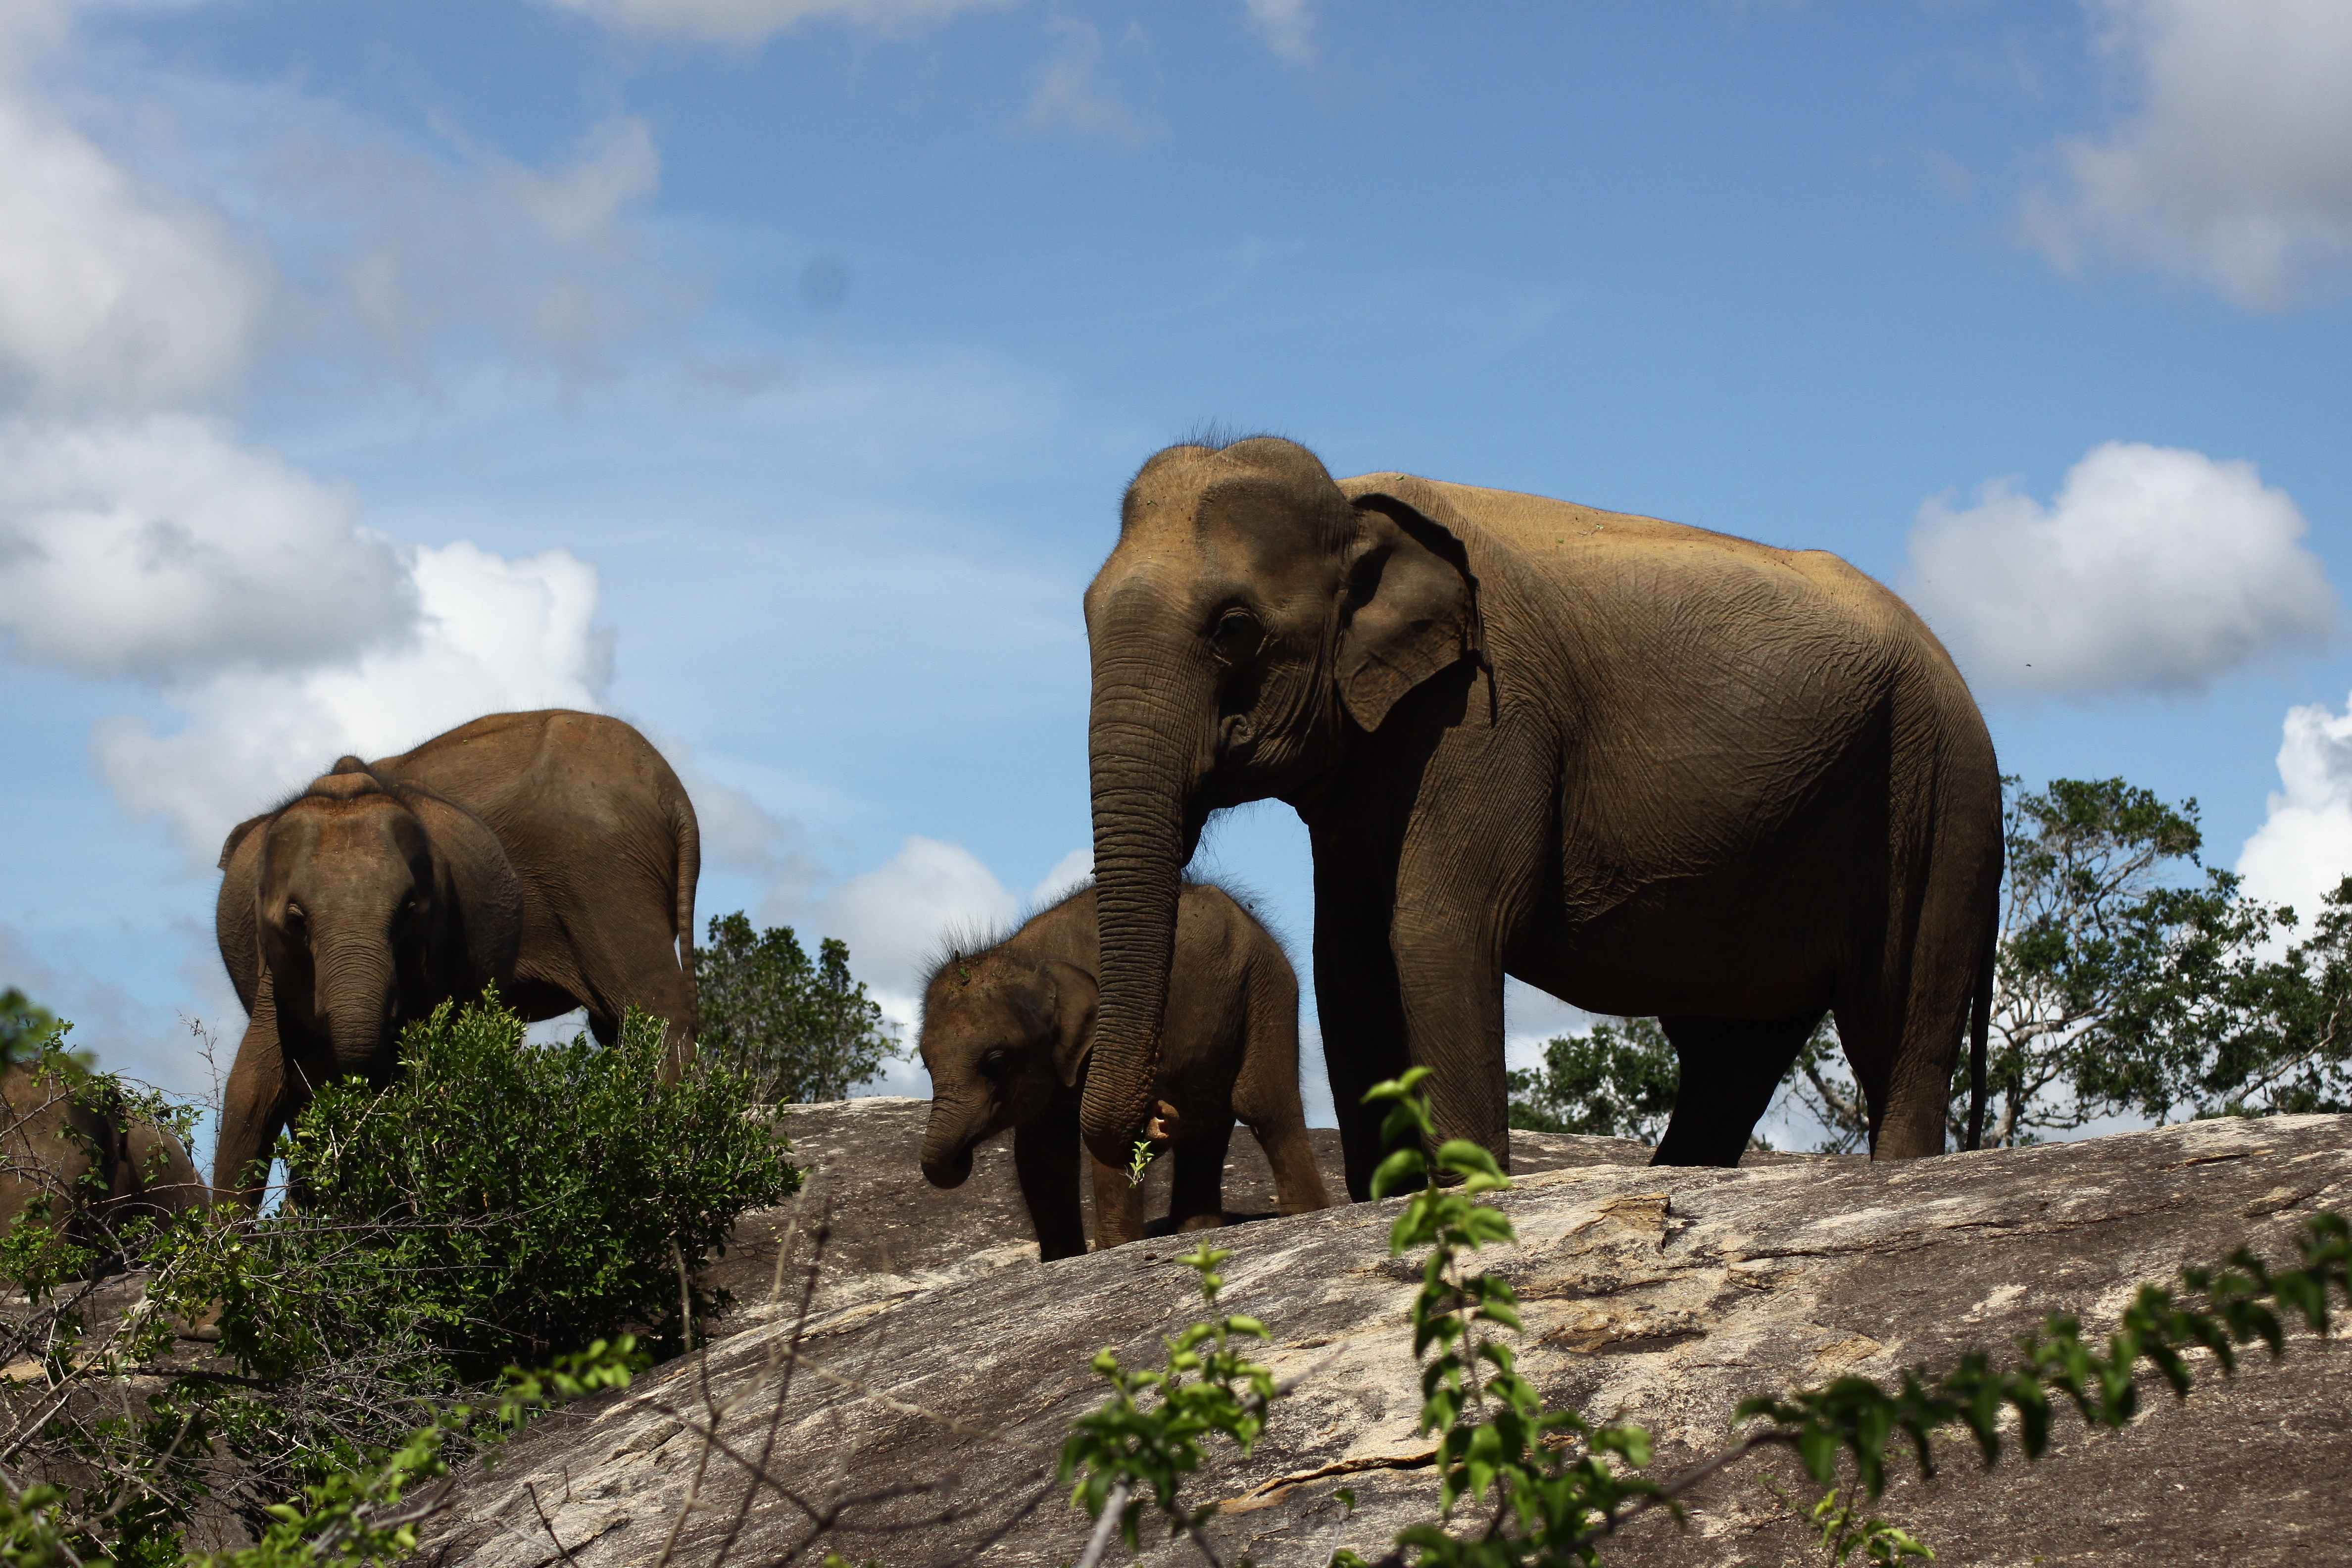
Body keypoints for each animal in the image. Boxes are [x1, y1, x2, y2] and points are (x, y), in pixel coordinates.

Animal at [918, 881, 1329, 1260]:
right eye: (924, 1062)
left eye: (996, 1063)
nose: (1160, 1114)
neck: (1027, 957)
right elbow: (1040, 1152)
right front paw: (1063, 1261)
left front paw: (1114, 1250)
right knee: (1205, 1127)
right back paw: (1199, 1234)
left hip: (1267, 987)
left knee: (1261, 1102)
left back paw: (1305, 1216)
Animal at [1079, 436, 2001, 1197]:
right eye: (1084, 613)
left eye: (1233, 627)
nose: (1158, 1119)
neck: (1351, 503)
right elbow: (1348, 966)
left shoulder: (1489, 715)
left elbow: (1436, 930)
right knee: (1731, 1055)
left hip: (1938, 796)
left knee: (1901, 1027)